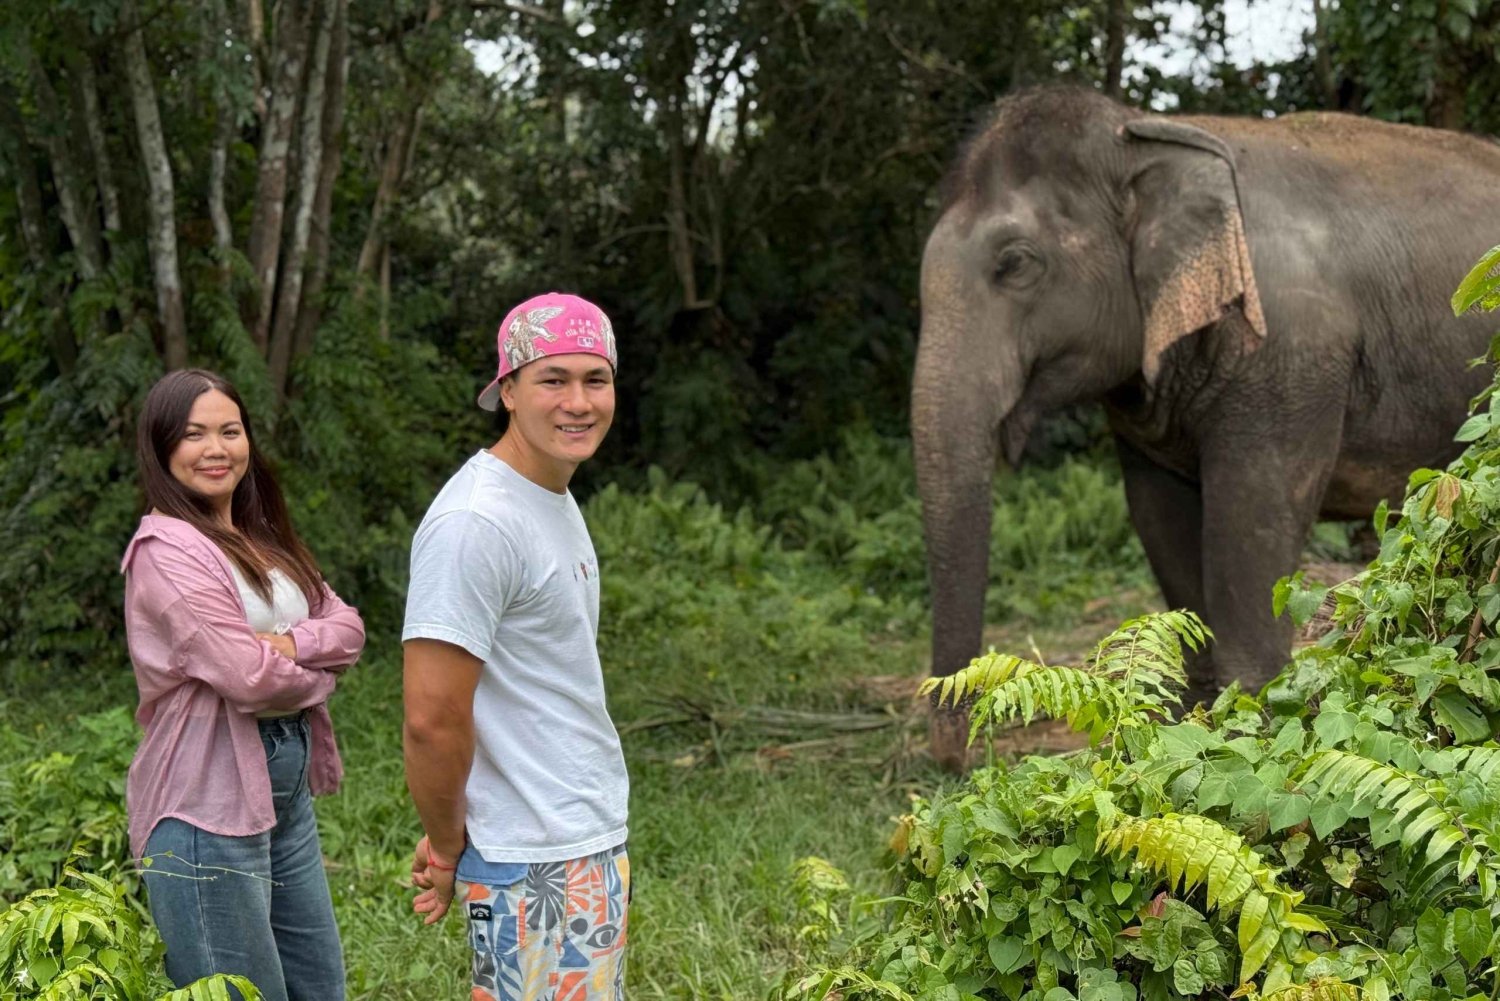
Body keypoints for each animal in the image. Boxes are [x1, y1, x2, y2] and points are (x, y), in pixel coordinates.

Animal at [913, 86, 1500, 768]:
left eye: (1014, 264)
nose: (957, 757)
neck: (1144, 135)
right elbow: (1159, 519)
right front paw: (1183, 730)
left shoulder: (1288, 358)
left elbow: (1252, 528)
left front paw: (1246, 729)